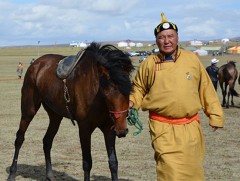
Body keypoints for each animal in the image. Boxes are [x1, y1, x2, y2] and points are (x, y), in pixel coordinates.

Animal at [7, 42, 134, 181]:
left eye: (130, 89)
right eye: (106, 91)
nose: (122, 130)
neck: (96, 95)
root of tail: (36, 64)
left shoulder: (109, 129)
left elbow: (113, 163)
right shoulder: (84, 128)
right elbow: (87, 162)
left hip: (55, 116)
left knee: (47, 141)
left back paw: (49, 176)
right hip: (28, 110)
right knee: (19, 138)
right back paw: (12, 174)